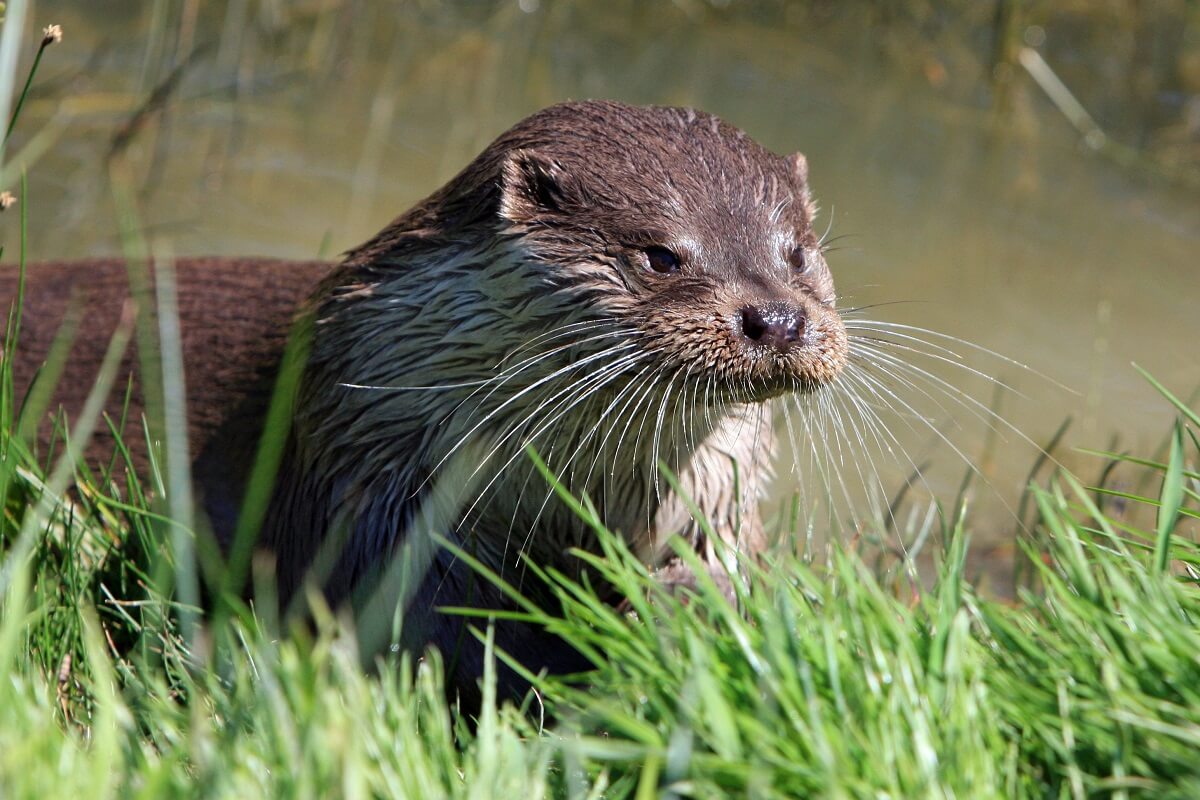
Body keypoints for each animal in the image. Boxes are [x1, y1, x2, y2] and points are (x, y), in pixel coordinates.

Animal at [3, 101, 848, 703]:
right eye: (662, 256)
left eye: (797, 253)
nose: (778, 319)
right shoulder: (368, 481)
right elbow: (429, 622)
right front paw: (576, 659)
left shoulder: (718, 491)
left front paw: (694, 614)